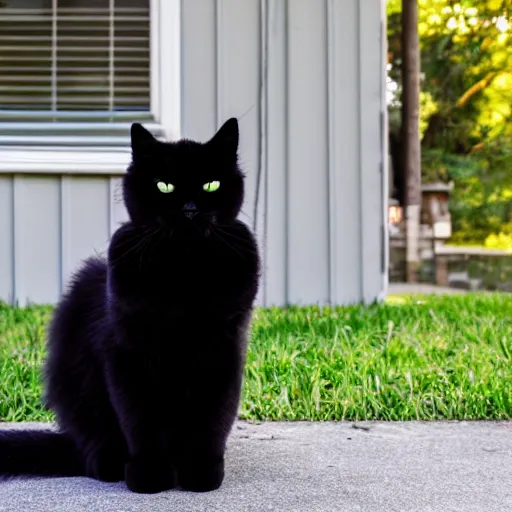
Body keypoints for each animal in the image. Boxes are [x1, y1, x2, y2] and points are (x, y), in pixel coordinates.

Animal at [0, 118, 260, 494]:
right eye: (164, 186)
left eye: (211, 185)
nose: (190, 210)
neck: (184, 272)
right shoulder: (129, 353)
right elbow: (141, 420)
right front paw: (150, 475)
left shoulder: (223, 350)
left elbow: (212, 418)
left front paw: (201, 473)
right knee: (92, 447)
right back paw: (109, 463)